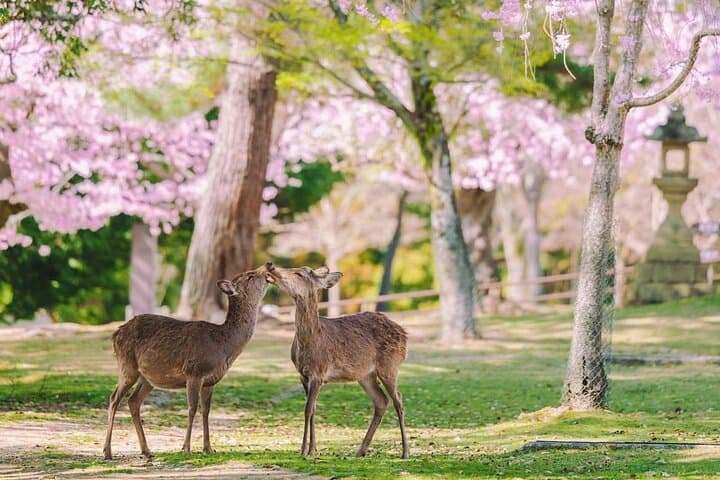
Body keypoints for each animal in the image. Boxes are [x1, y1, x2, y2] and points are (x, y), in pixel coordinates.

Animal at [103, 264, 270, 460]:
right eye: (250, 276)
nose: (269, 265)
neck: (224, 345)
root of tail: (115, 334)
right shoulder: (194, 372)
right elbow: (192, 408)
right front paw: (186, 448)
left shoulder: (211, 381)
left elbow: (206, 410)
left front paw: (208, 448)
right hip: (127, 366)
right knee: (114, 398)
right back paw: (108, 451)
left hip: (148, 378)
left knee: (133, 401)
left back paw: (147, 450)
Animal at [264, 262, 409, 458]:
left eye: (299, 274)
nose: (270, 266)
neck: (309, 343)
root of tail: (404, 335)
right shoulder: (302, 375)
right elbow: (313, 409)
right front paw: (313, 449)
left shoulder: (319, 373)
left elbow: (308, 409)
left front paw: (304, 450)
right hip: (365, 375)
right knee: (381, 401)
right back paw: (360, 451)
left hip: (390, 365)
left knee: (398, 400)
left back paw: (405, 451)